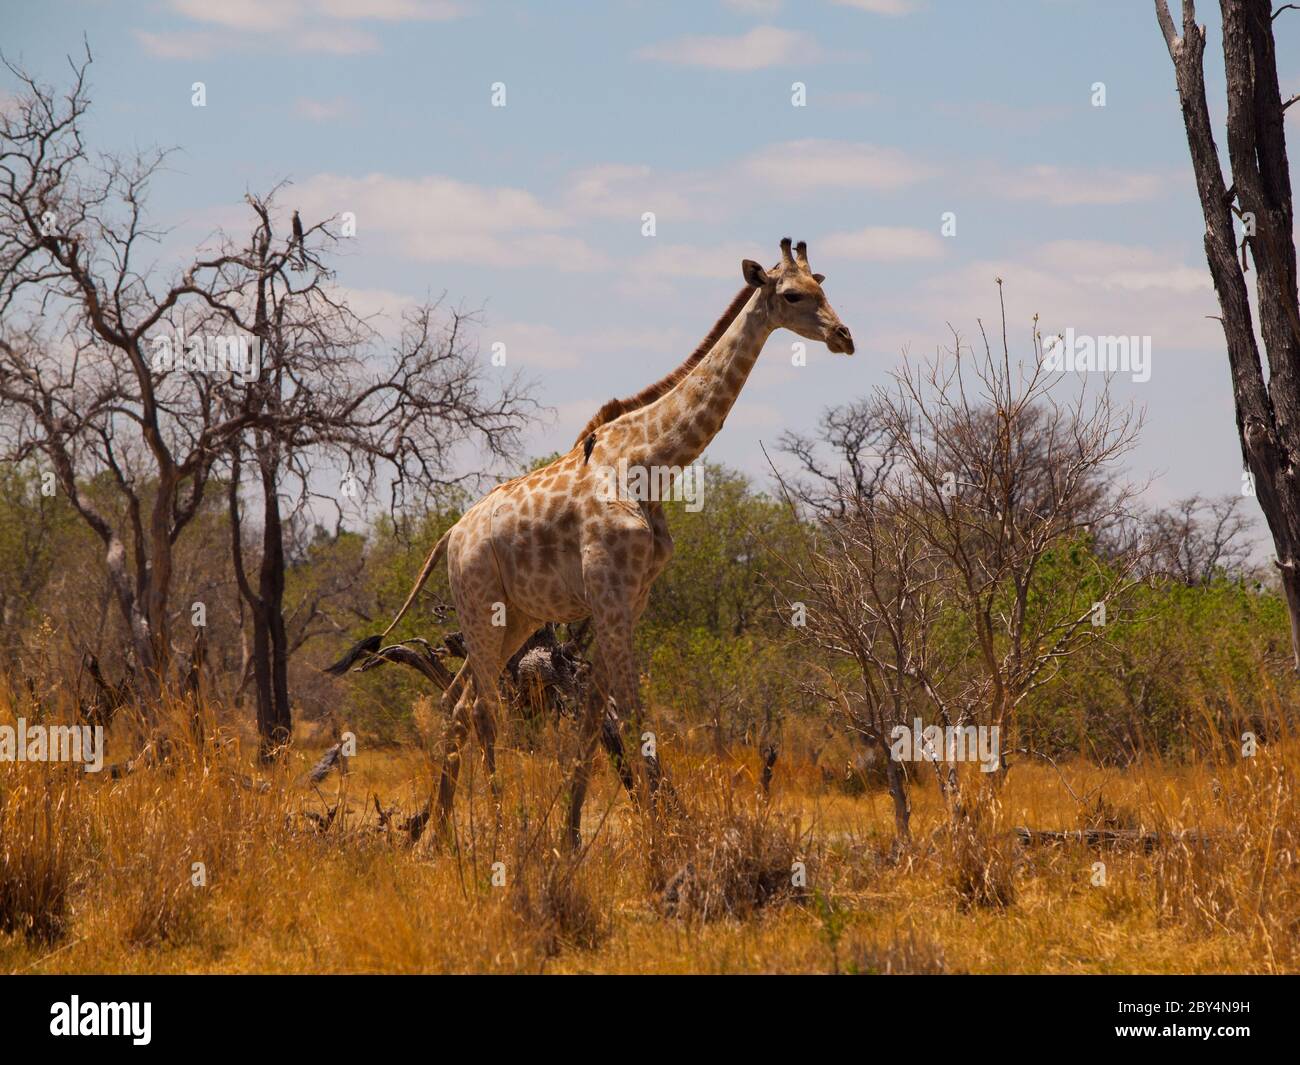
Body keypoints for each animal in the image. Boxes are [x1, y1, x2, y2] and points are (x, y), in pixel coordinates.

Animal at [364, 237, 852, 847]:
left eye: (822, 286)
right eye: (792, 294)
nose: (844, 336)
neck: (652, 461)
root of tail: (451, 533)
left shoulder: (628, 600)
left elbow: (597, 719)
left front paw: (571, 839)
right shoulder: (612, 598)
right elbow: (636, 716)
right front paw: (662, 845)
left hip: (519, 615)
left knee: (457, 699)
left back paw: (438, 836)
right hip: (479, 604)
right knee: (483, 709)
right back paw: (496, 830)